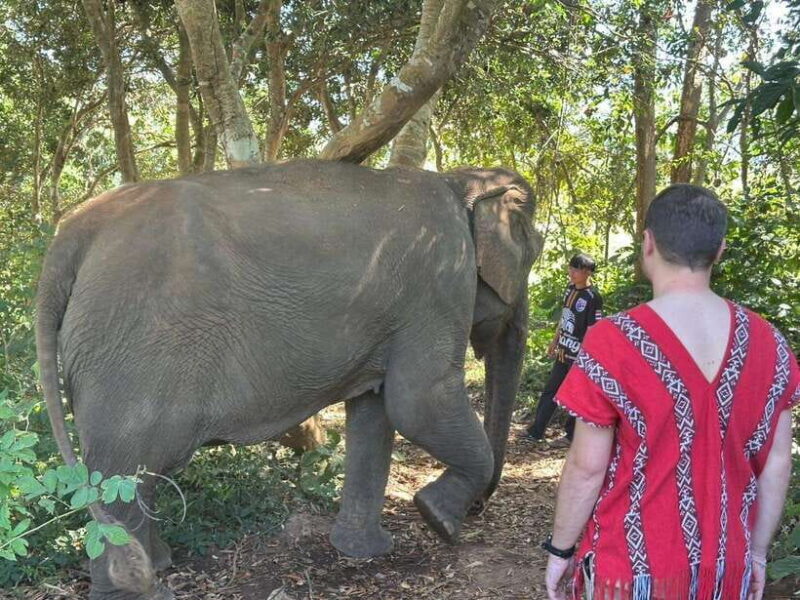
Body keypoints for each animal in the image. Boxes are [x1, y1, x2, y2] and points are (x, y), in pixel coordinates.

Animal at [36, 159, 542, 599]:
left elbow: (376, 413)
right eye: (533, 255)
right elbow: (419, 401)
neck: (461, 181)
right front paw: (438, 519)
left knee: (140, 474)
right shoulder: (438, 285)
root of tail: (70, 236)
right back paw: (144, 589)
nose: (479, 508)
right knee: (124, 469)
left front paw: (366, 552)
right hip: (131, 354)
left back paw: (158, 565)